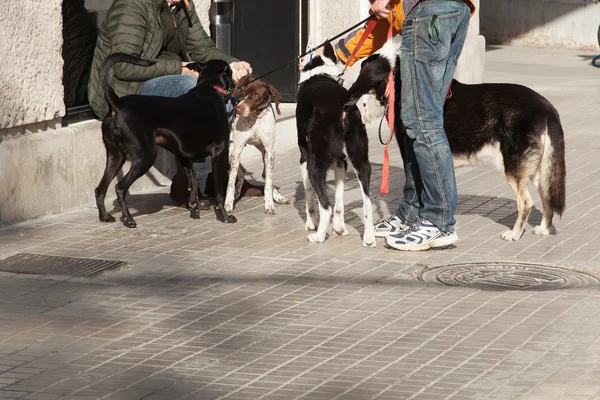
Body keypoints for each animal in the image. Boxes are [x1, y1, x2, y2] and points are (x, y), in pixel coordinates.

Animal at [95, 53, 236, 228]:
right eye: (230, 72)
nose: (236, 84)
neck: (209, 87)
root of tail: (117, 104)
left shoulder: (183, 156)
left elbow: (193, 182)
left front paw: (194, 207)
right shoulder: (219, 153)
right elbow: (219, 193)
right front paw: (225, 216)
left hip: (116, 156)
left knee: (100, 189)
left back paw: (105, 216)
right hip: (146, 156)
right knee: (120, 187)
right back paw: (128, 219)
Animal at [296, 41, 376, 247]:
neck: (320, 72)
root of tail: (343, 104)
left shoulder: (304, 158)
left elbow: (309, 195)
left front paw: (311, 223)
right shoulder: (342, 162)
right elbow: (340, 200)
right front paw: (339, 228)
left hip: (315, 165)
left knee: (326, 206)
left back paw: (318, 237)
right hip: (361, 161)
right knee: (367, 202)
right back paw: (369, 238)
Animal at [344, 39, 564, 241]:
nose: (349, 96)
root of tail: (547, 107)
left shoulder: (412, 153)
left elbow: (414, 189)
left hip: (513, 166)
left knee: (526, 202)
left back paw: (515, 234)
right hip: (538, 168)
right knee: (547, 198)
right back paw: (543, 229)